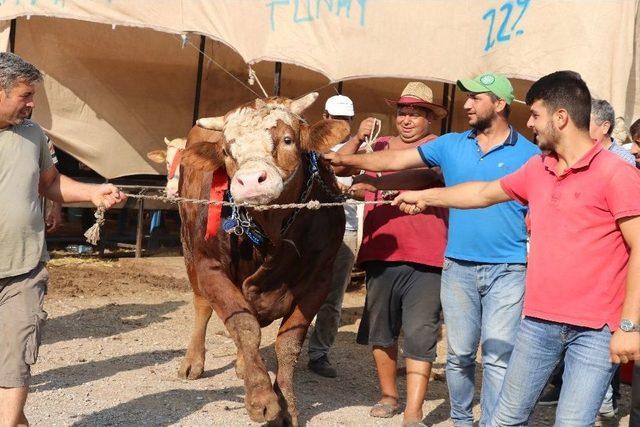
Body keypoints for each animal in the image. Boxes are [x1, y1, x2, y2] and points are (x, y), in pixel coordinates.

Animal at [176, 94, 350, 427]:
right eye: (226, 150)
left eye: (287, 139)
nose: (250, 180)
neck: (271, 231)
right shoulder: (209, 265)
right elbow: (244, 325)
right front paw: (262, 399)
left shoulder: (319, 278)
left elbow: (288, 344)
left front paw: (287, 407)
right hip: (189, 247)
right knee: (203, 305)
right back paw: (193, 361)